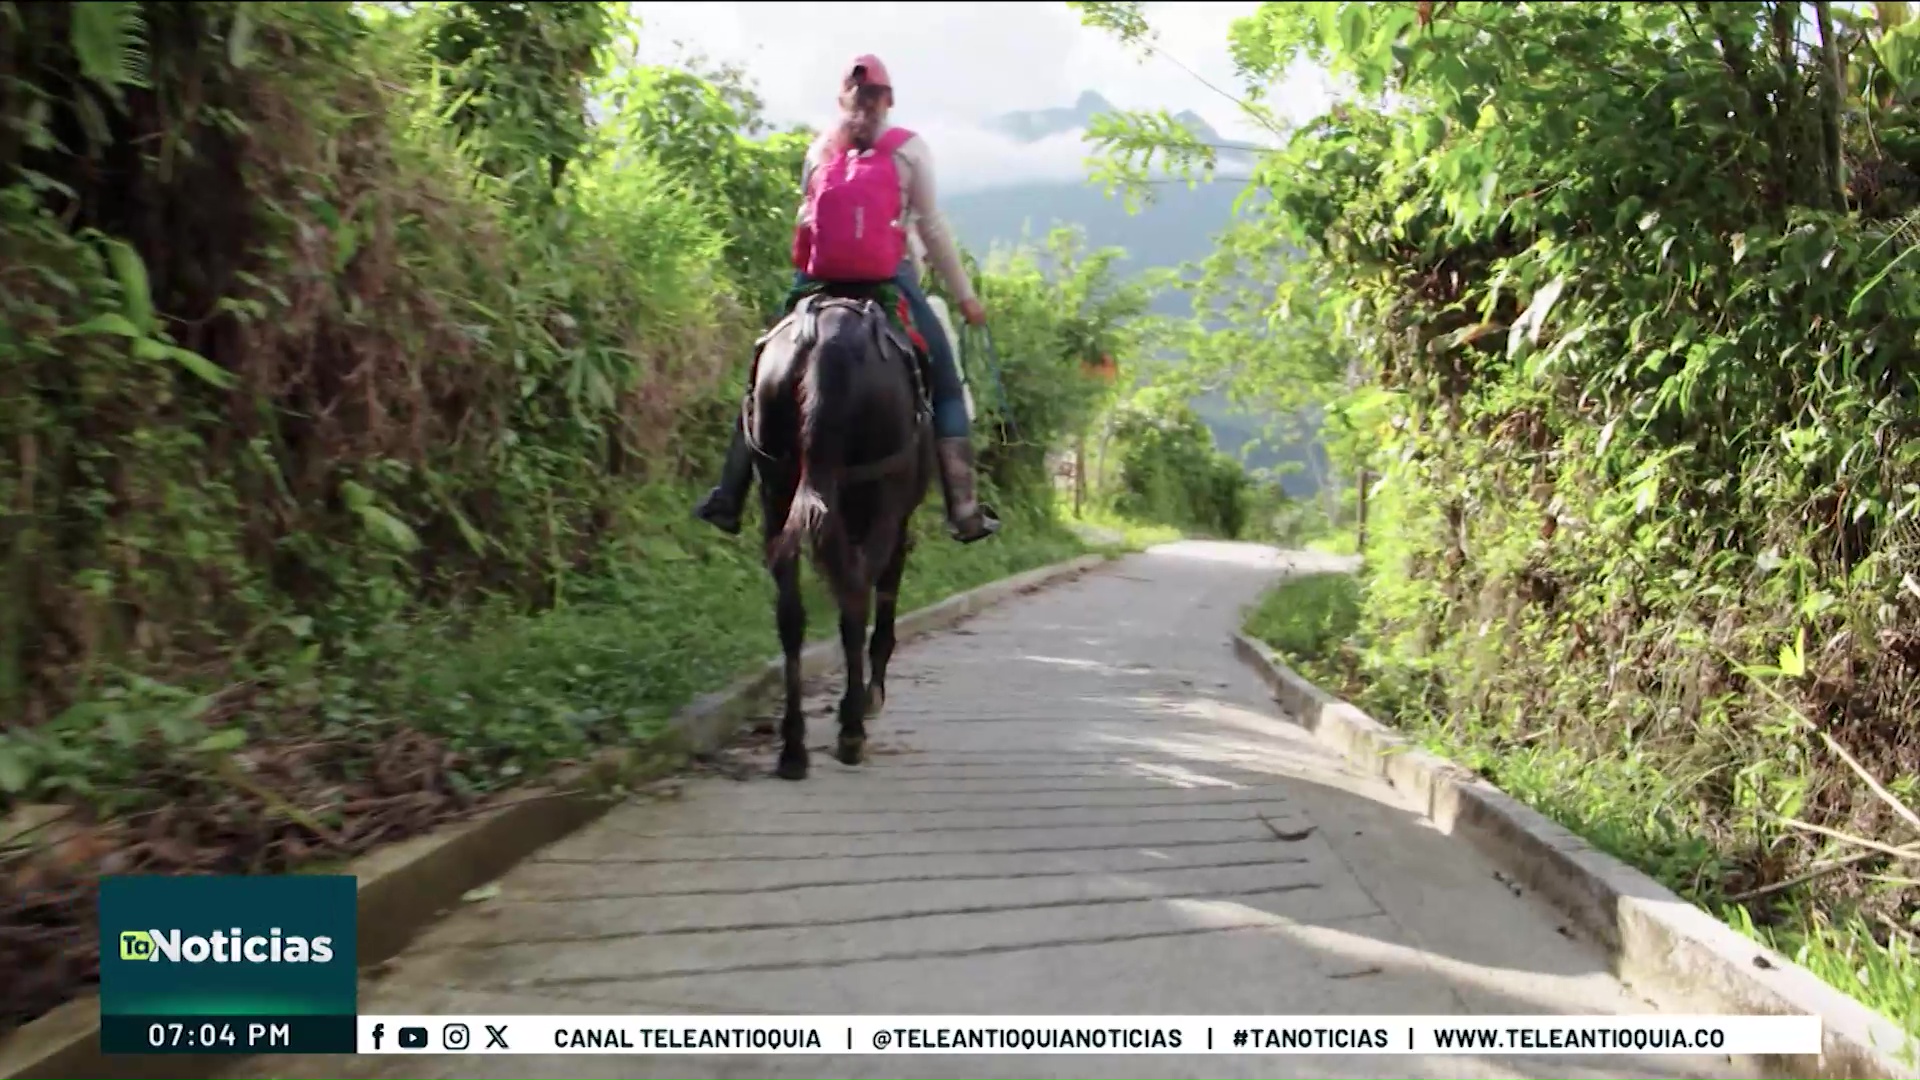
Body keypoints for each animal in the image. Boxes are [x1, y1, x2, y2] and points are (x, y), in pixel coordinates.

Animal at [744, 288, 933, 772]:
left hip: (776, 494)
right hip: (877, 502)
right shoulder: (898, 522)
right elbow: (883, 602)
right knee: (855, 598)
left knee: (791, 613)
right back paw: (851, 728)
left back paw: (793, 747)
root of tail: (828, 342)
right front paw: (870, 695)